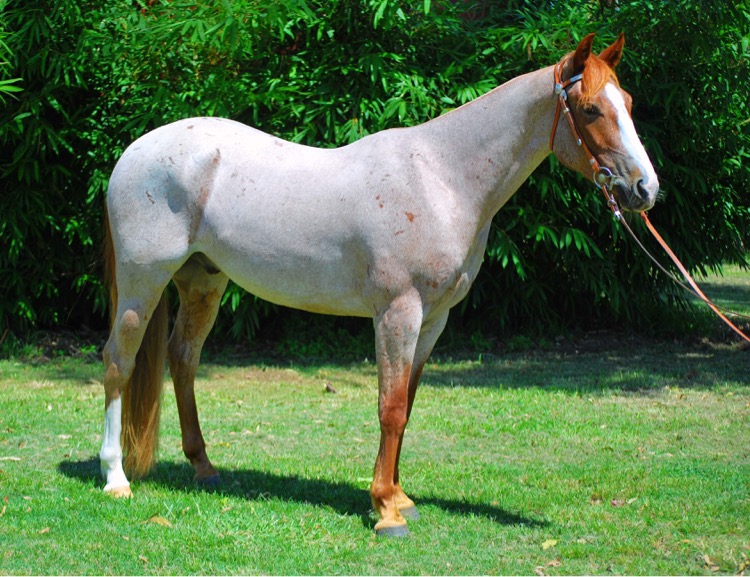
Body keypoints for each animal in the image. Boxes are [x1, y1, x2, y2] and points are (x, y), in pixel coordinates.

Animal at [99, 33, 659, 536]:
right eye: (590, 109)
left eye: (628, 103)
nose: (645, 189)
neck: (442, 179)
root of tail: (133, 153)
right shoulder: (397, 313)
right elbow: (389, 408)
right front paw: (387, 510)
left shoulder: (433, 320)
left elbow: (405, 405)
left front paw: (398, 496)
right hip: (143, 282)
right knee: (118, 363)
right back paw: (115, 478)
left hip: (203, 283)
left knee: (183, 359)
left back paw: (204, 467)